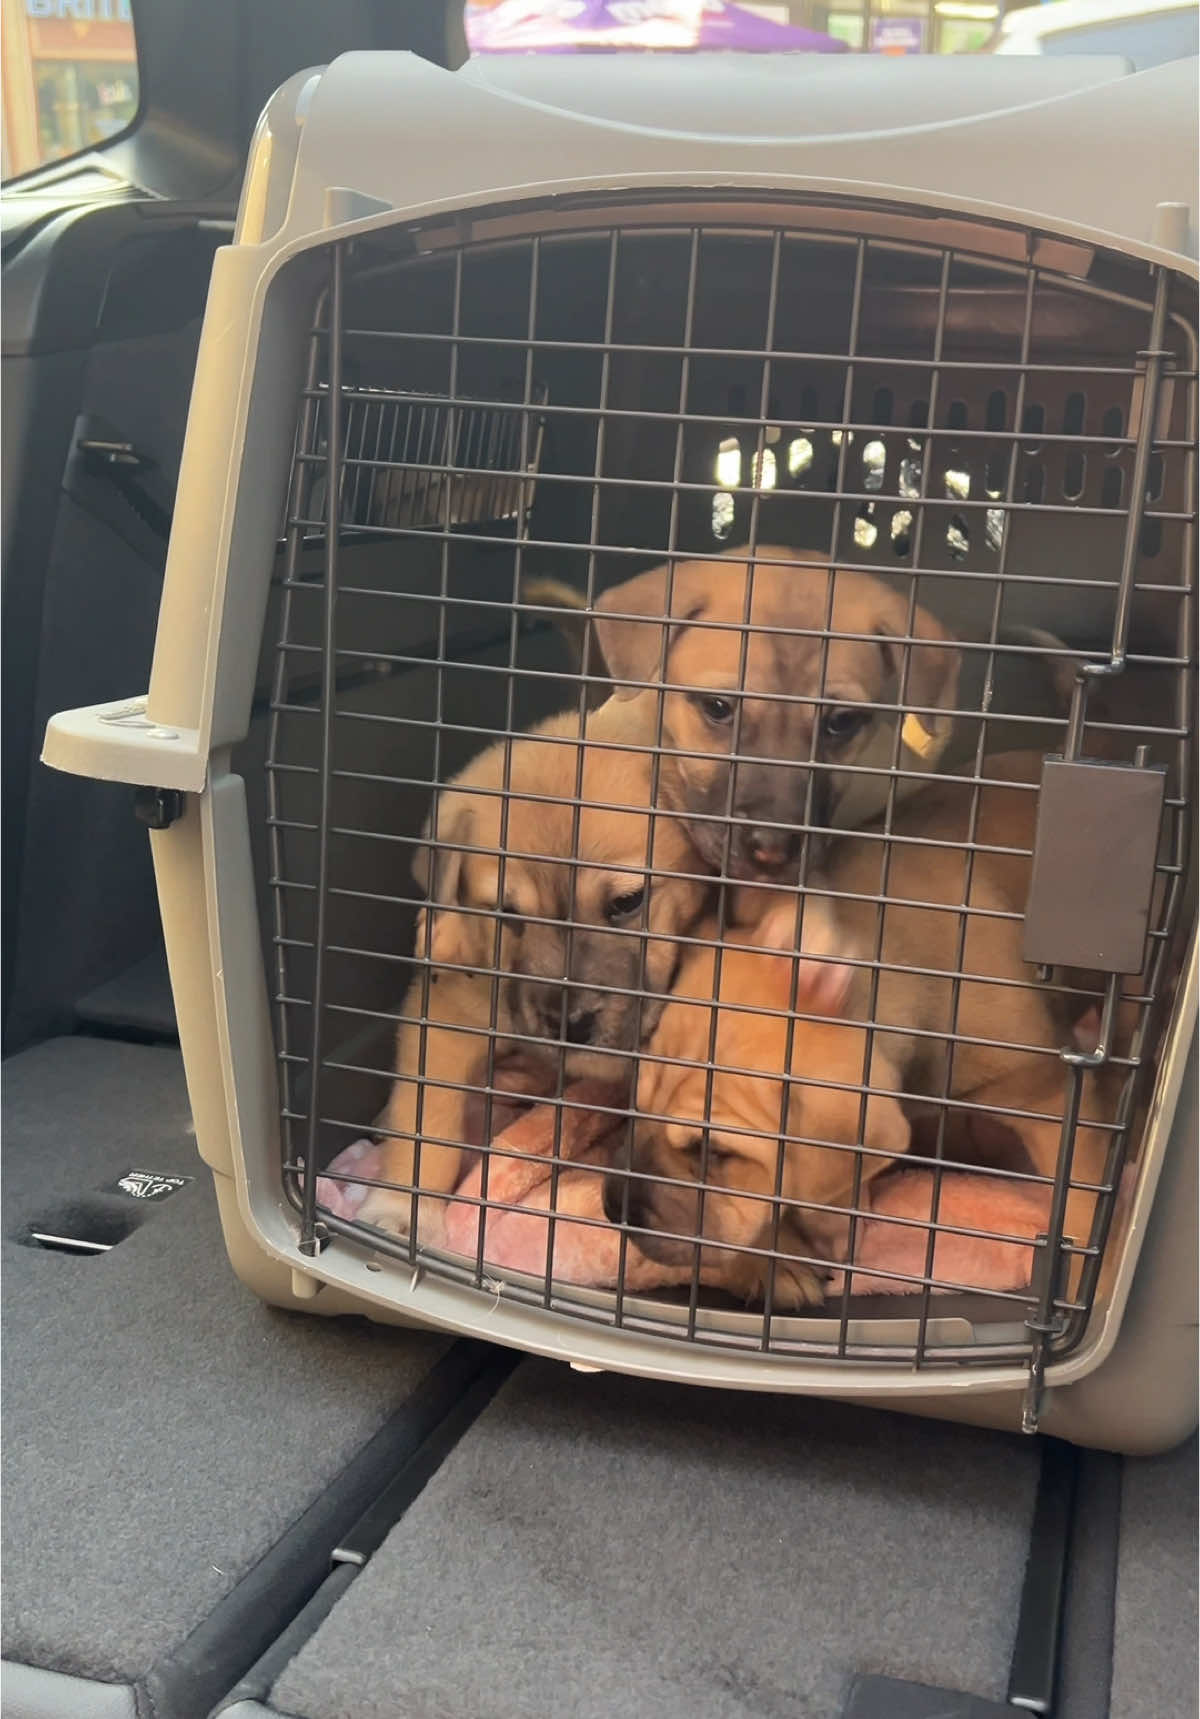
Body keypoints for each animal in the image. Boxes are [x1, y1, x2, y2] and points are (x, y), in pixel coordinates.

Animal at [358, 693, 712, 1239]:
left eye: (628, 902)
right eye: (507, 914)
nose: (570, 1026)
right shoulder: (447, 1016)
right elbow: (426, 1120)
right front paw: (401, 1208)